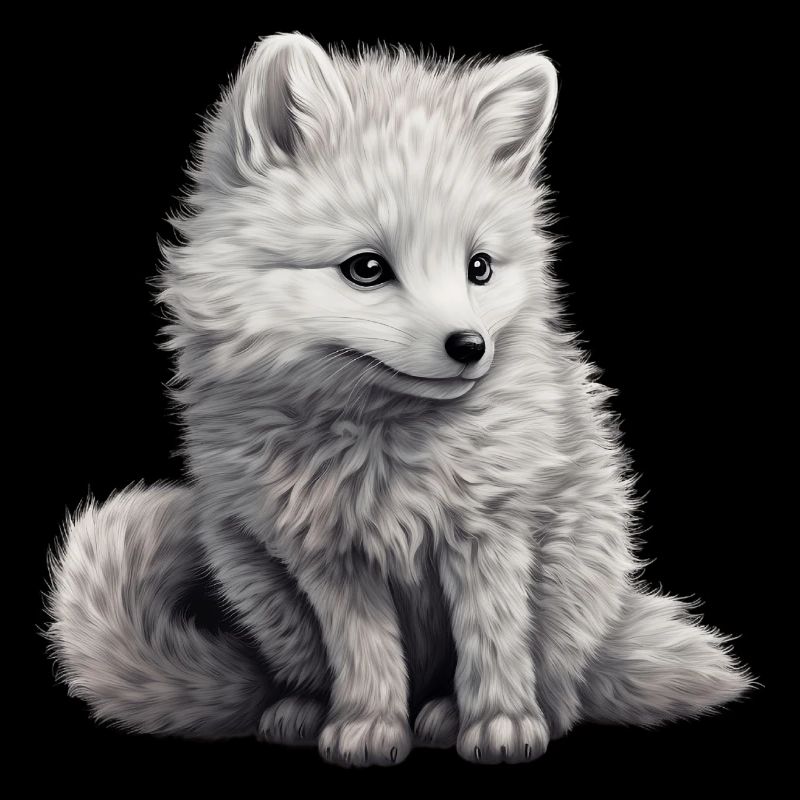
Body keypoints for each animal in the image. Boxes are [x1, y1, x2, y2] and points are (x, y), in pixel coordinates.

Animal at [45, 32, 753, 767]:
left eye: (479, 268)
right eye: (366, 268)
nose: (470, 346)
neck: (383, 452)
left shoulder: (488, 528)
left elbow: (492, 639)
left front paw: (499, 723)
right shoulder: (327, 554)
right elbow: (365, 653)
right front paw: (366, 726)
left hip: (569, 573)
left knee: (561, 685)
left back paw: (461, 714)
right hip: (254, 578)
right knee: (303, 670)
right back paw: (303, 711)